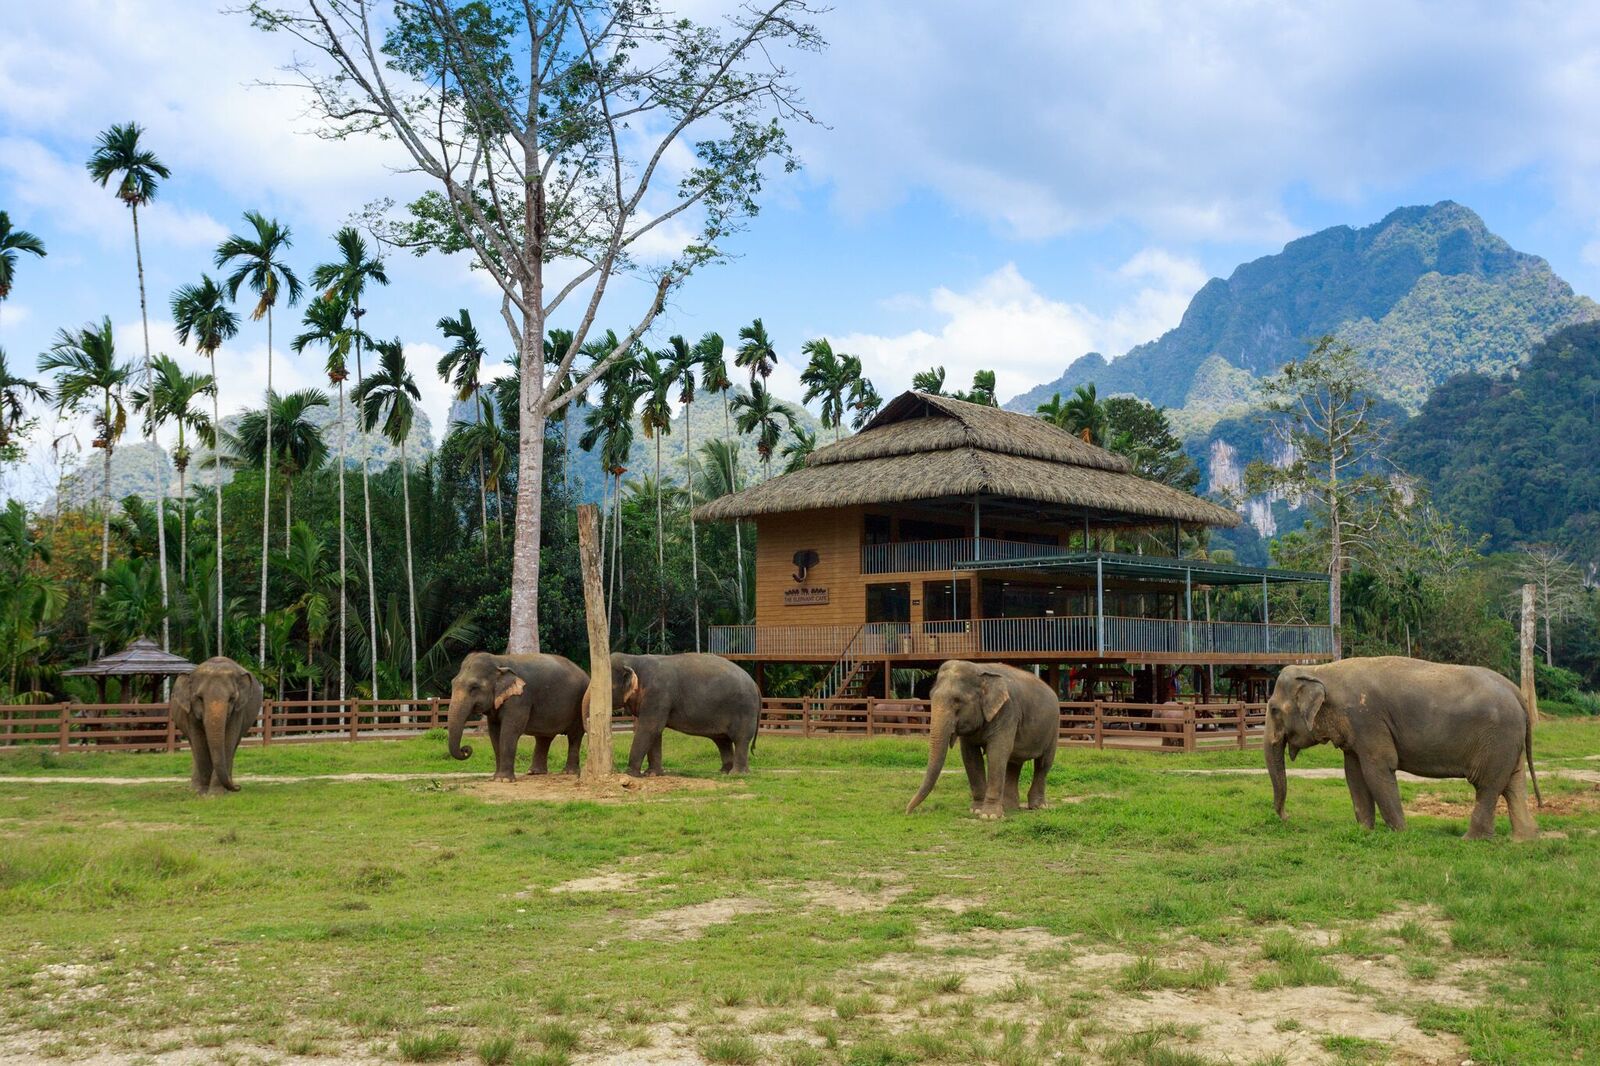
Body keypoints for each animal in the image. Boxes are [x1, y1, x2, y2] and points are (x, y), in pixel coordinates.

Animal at [169, 653, 260, 793]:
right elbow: (199, 743)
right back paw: (195, 788)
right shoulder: (190, 712)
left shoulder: (238, 711)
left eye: (232, 698)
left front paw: (216, 793)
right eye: (199, 698)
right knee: (194, 747)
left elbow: (228, 742)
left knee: (234, 745)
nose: (238, 787)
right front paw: (202, 792)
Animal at [448, 646, 592, 781]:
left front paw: (504, 779)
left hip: (579, 707)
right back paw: (535, 772)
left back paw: (569, 772)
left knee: (574, 736)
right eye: (452, 683)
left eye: (474, 687)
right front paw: (496, 778)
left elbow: (510, 731)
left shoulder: (520, 699)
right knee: (544, 737)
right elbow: (494, 733)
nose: (465, 749)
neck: (499, 661)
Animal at [595, 646, 761, 771]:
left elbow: (650, 728)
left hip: (744, 710)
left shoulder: (658, 694)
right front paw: (652, 774)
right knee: (723, 740)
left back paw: (736, 774)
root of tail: (755, 685)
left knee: (740, 739)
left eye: (608, 687)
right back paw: (724, 771)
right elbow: (655, 731)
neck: (634, 659)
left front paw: (630, 774)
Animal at [908, 659, 1056, 816]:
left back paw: (1038, 807)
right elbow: (970, 757)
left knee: (1043, 764)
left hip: (1053, 729)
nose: (908, 811)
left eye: (957, 700)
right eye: (931, 696)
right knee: (1014, 763)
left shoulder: (1007, 712)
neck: (980, 670)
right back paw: (1009, 807)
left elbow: (997, 753)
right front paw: (976, 810)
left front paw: (989, 815)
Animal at [1267, 656, 1542, 838]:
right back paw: (1524, 840)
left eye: (1273, 710)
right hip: (1508, 741)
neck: (1320, 670)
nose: (1288, 818)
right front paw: (1365, 831)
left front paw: (1400, 833)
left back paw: (1471, 840)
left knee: (1488, 786)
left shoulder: (1367, 719)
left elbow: (1377, 769)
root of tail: (1516, 692)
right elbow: (1353, 774)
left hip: (1497, 738)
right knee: (1514, 783)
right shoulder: (1356, 731)